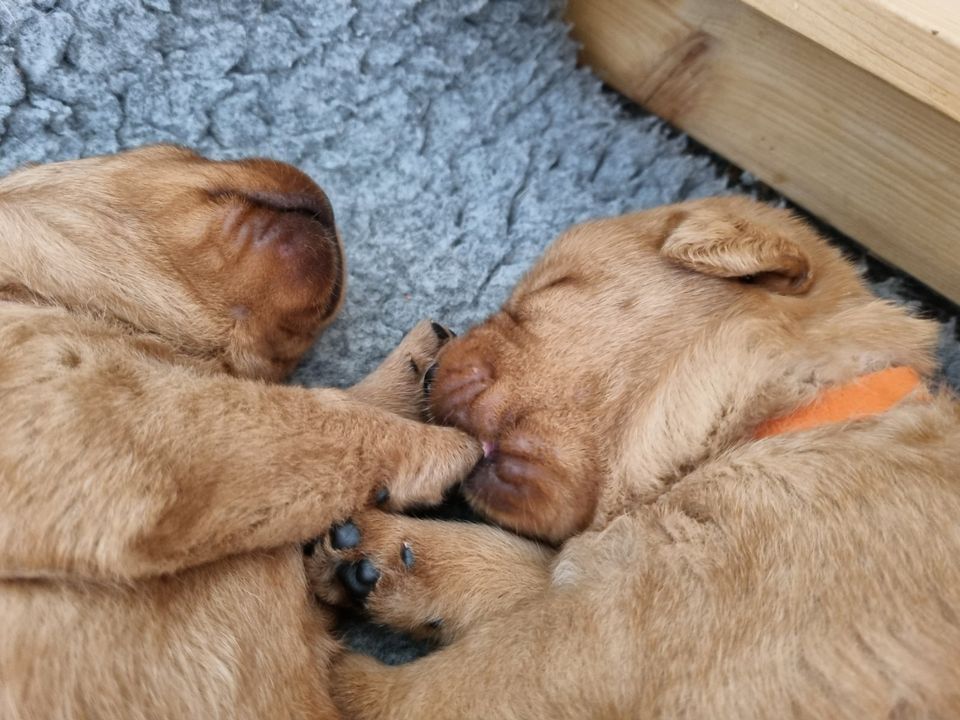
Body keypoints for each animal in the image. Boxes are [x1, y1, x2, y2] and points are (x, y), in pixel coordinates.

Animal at [310, 197, 960, 720]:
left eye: (554, 288)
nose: (431, 373)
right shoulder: (621, 578)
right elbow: (531, 570)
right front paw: (379, 551)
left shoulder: (631, 632)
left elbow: (459, 683)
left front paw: (324, 677)